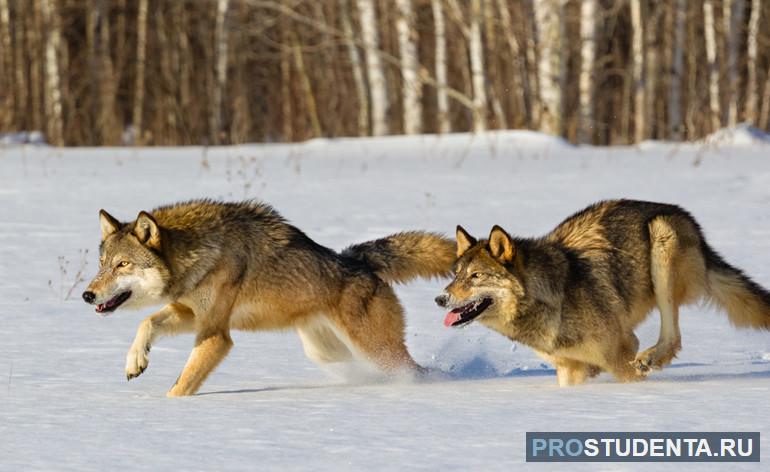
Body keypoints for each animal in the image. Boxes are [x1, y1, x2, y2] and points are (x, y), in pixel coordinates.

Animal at [82, 197, 456, 396]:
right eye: (101, 264)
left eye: (122, 264)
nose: (87, 295)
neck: (199, 253)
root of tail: (357, 260)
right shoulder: (191, 314)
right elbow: (146, 323)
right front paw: (135, 362)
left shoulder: (216, 335)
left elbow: (182, 383)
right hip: (326, 351)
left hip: (374, 349)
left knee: (414, 370)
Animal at [436, 199, 764, 388]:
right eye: (456, 275)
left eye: (476, 276)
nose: (440, 299)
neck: (551, 299)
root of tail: (687, 218)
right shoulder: (569, 369)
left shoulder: (621, 351)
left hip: (661, 242)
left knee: (673, 336)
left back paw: (651, 358)